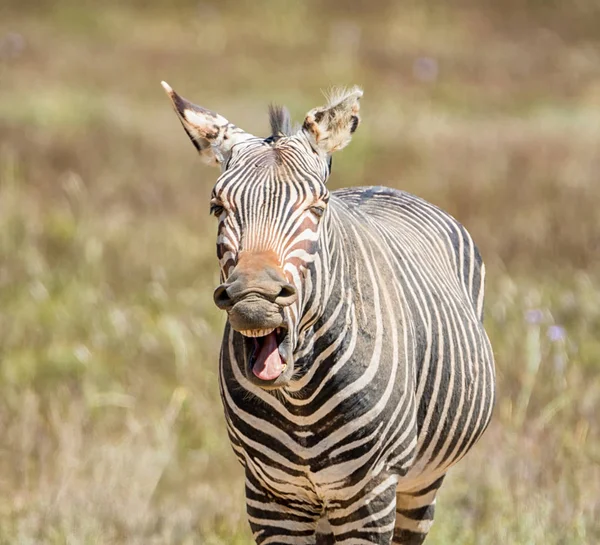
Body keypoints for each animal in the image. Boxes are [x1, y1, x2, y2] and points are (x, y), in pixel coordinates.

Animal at [162, 82, 494, 544]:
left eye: (317, 208)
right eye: (217, 208)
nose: (255, 297)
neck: (298, 398)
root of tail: (383, 187)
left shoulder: (371, 495)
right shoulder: (269, 497)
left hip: (420, 483)